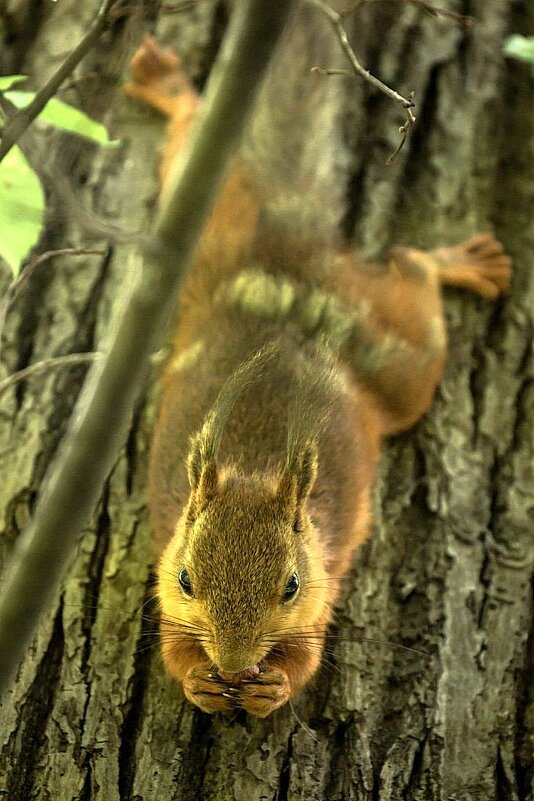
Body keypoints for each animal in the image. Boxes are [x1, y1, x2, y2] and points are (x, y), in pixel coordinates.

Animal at [123, 29, 512, 720]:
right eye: (188, 579)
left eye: (291, 585)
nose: (233, 665)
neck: (253, 466)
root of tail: (285, 262)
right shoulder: (165, 580)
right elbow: (173, 648)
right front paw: (201, 679)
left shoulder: (323, 589)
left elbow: (306, 658)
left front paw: (272, 684)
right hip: (208, 233)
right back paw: (165, 83)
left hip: (392, 366)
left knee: (411, 274)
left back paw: (458, 262)